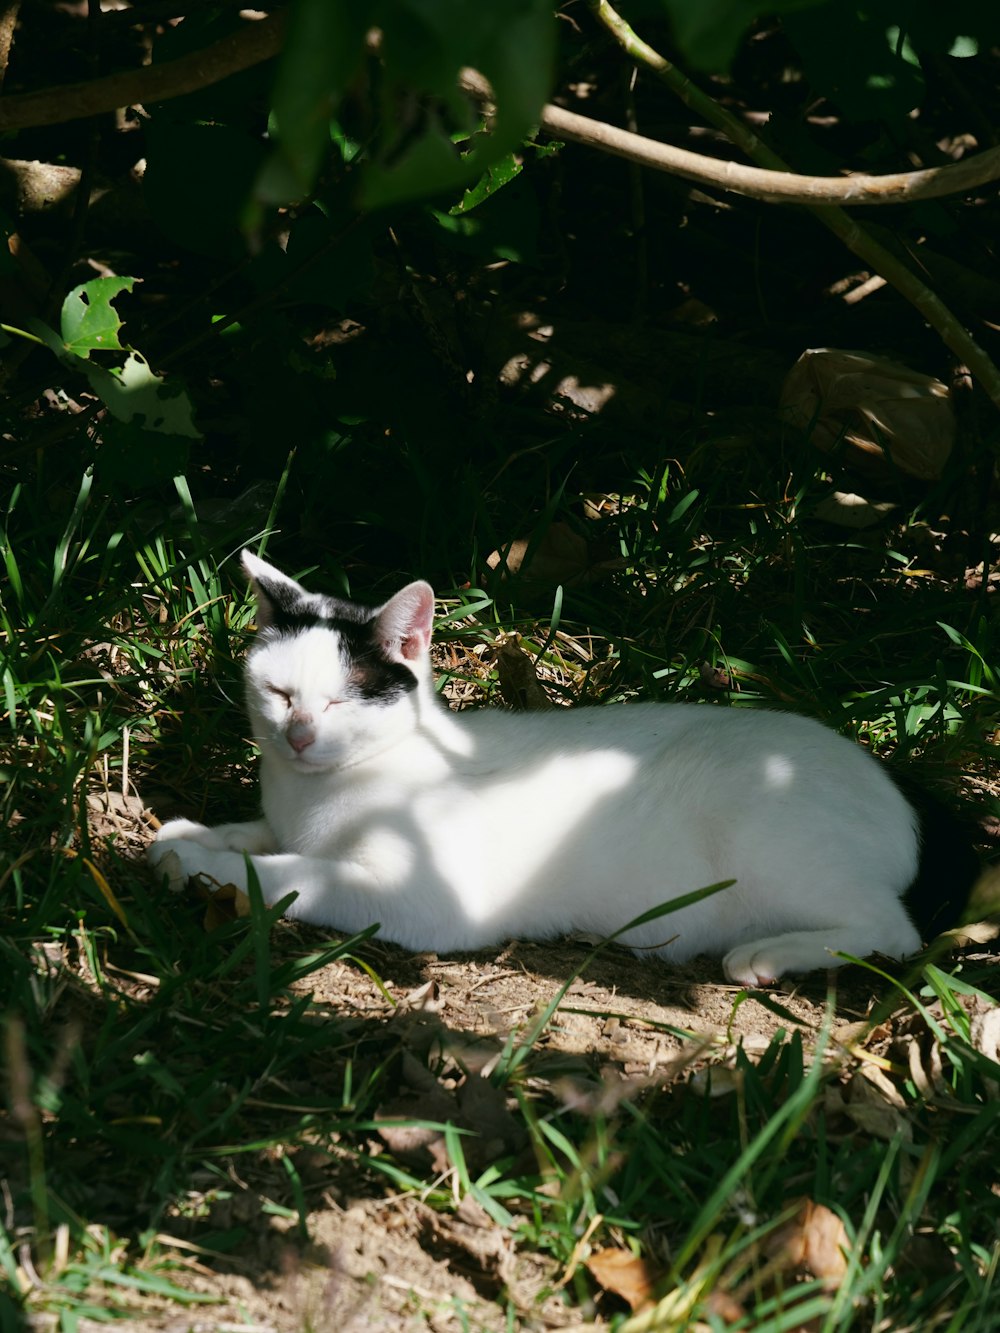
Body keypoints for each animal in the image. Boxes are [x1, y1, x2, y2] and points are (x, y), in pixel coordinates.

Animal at [144, 546, 976, 986]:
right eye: (280, 693)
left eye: (344, 699)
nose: (300, 736)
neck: (313, 798)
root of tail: (898, 780)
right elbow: (261, 836)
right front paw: (197, 834)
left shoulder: (423, 897)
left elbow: (294, 872)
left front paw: (205, 863)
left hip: (775, 847)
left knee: (892, 930)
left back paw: (769, 954)